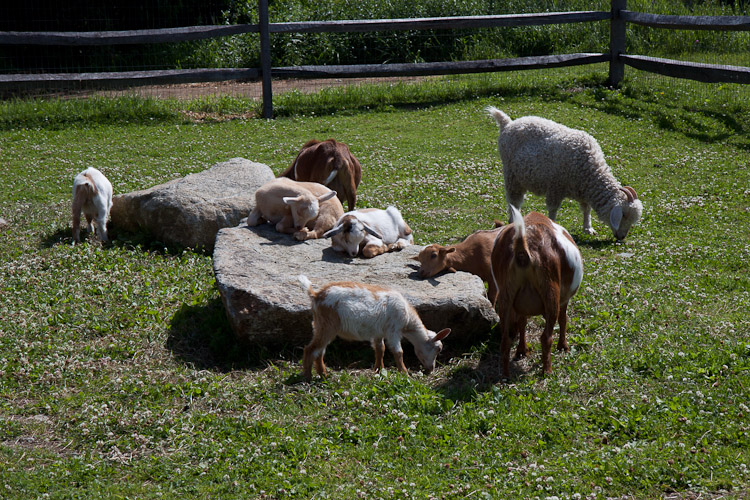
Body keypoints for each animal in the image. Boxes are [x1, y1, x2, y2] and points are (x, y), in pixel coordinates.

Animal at [300, 276, 452, 380]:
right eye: (438, 348)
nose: (431, 369)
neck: (408, 319)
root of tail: (316, 295)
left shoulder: (379, 332)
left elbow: (380, 349)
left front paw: (379, 370)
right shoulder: (393, 331)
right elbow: (398, 352)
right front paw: (405, 373)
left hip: (319, 325)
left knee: (319, 351)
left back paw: (323, 375)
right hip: (327, 326)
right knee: (310, 349)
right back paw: (307, 377)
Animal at [488, 105, 648, 240]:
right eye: (624, 215)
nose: (621, 237)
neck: (589, 168)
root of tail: (508, 123)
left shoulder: (583, 191)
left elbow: (586, 209)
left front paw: (588, 228)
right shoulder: (555, 186)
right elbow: (553, 209)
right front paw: (551, 225)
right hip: (511, 175)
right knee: (514, 200)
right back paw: (512, 220)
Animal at [494, 205, 588, 376]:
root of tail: (523, 249)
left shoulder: (520, 308)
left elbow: (522, 323)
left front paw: (522, 350)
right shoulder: (564, 299)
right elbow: (563, 319)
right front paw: (563, 346)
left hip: (505, 296)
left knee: (505, 340)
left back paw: (505, 375)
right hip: (550, 293)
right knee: (546, 337)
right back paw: (547, 371)